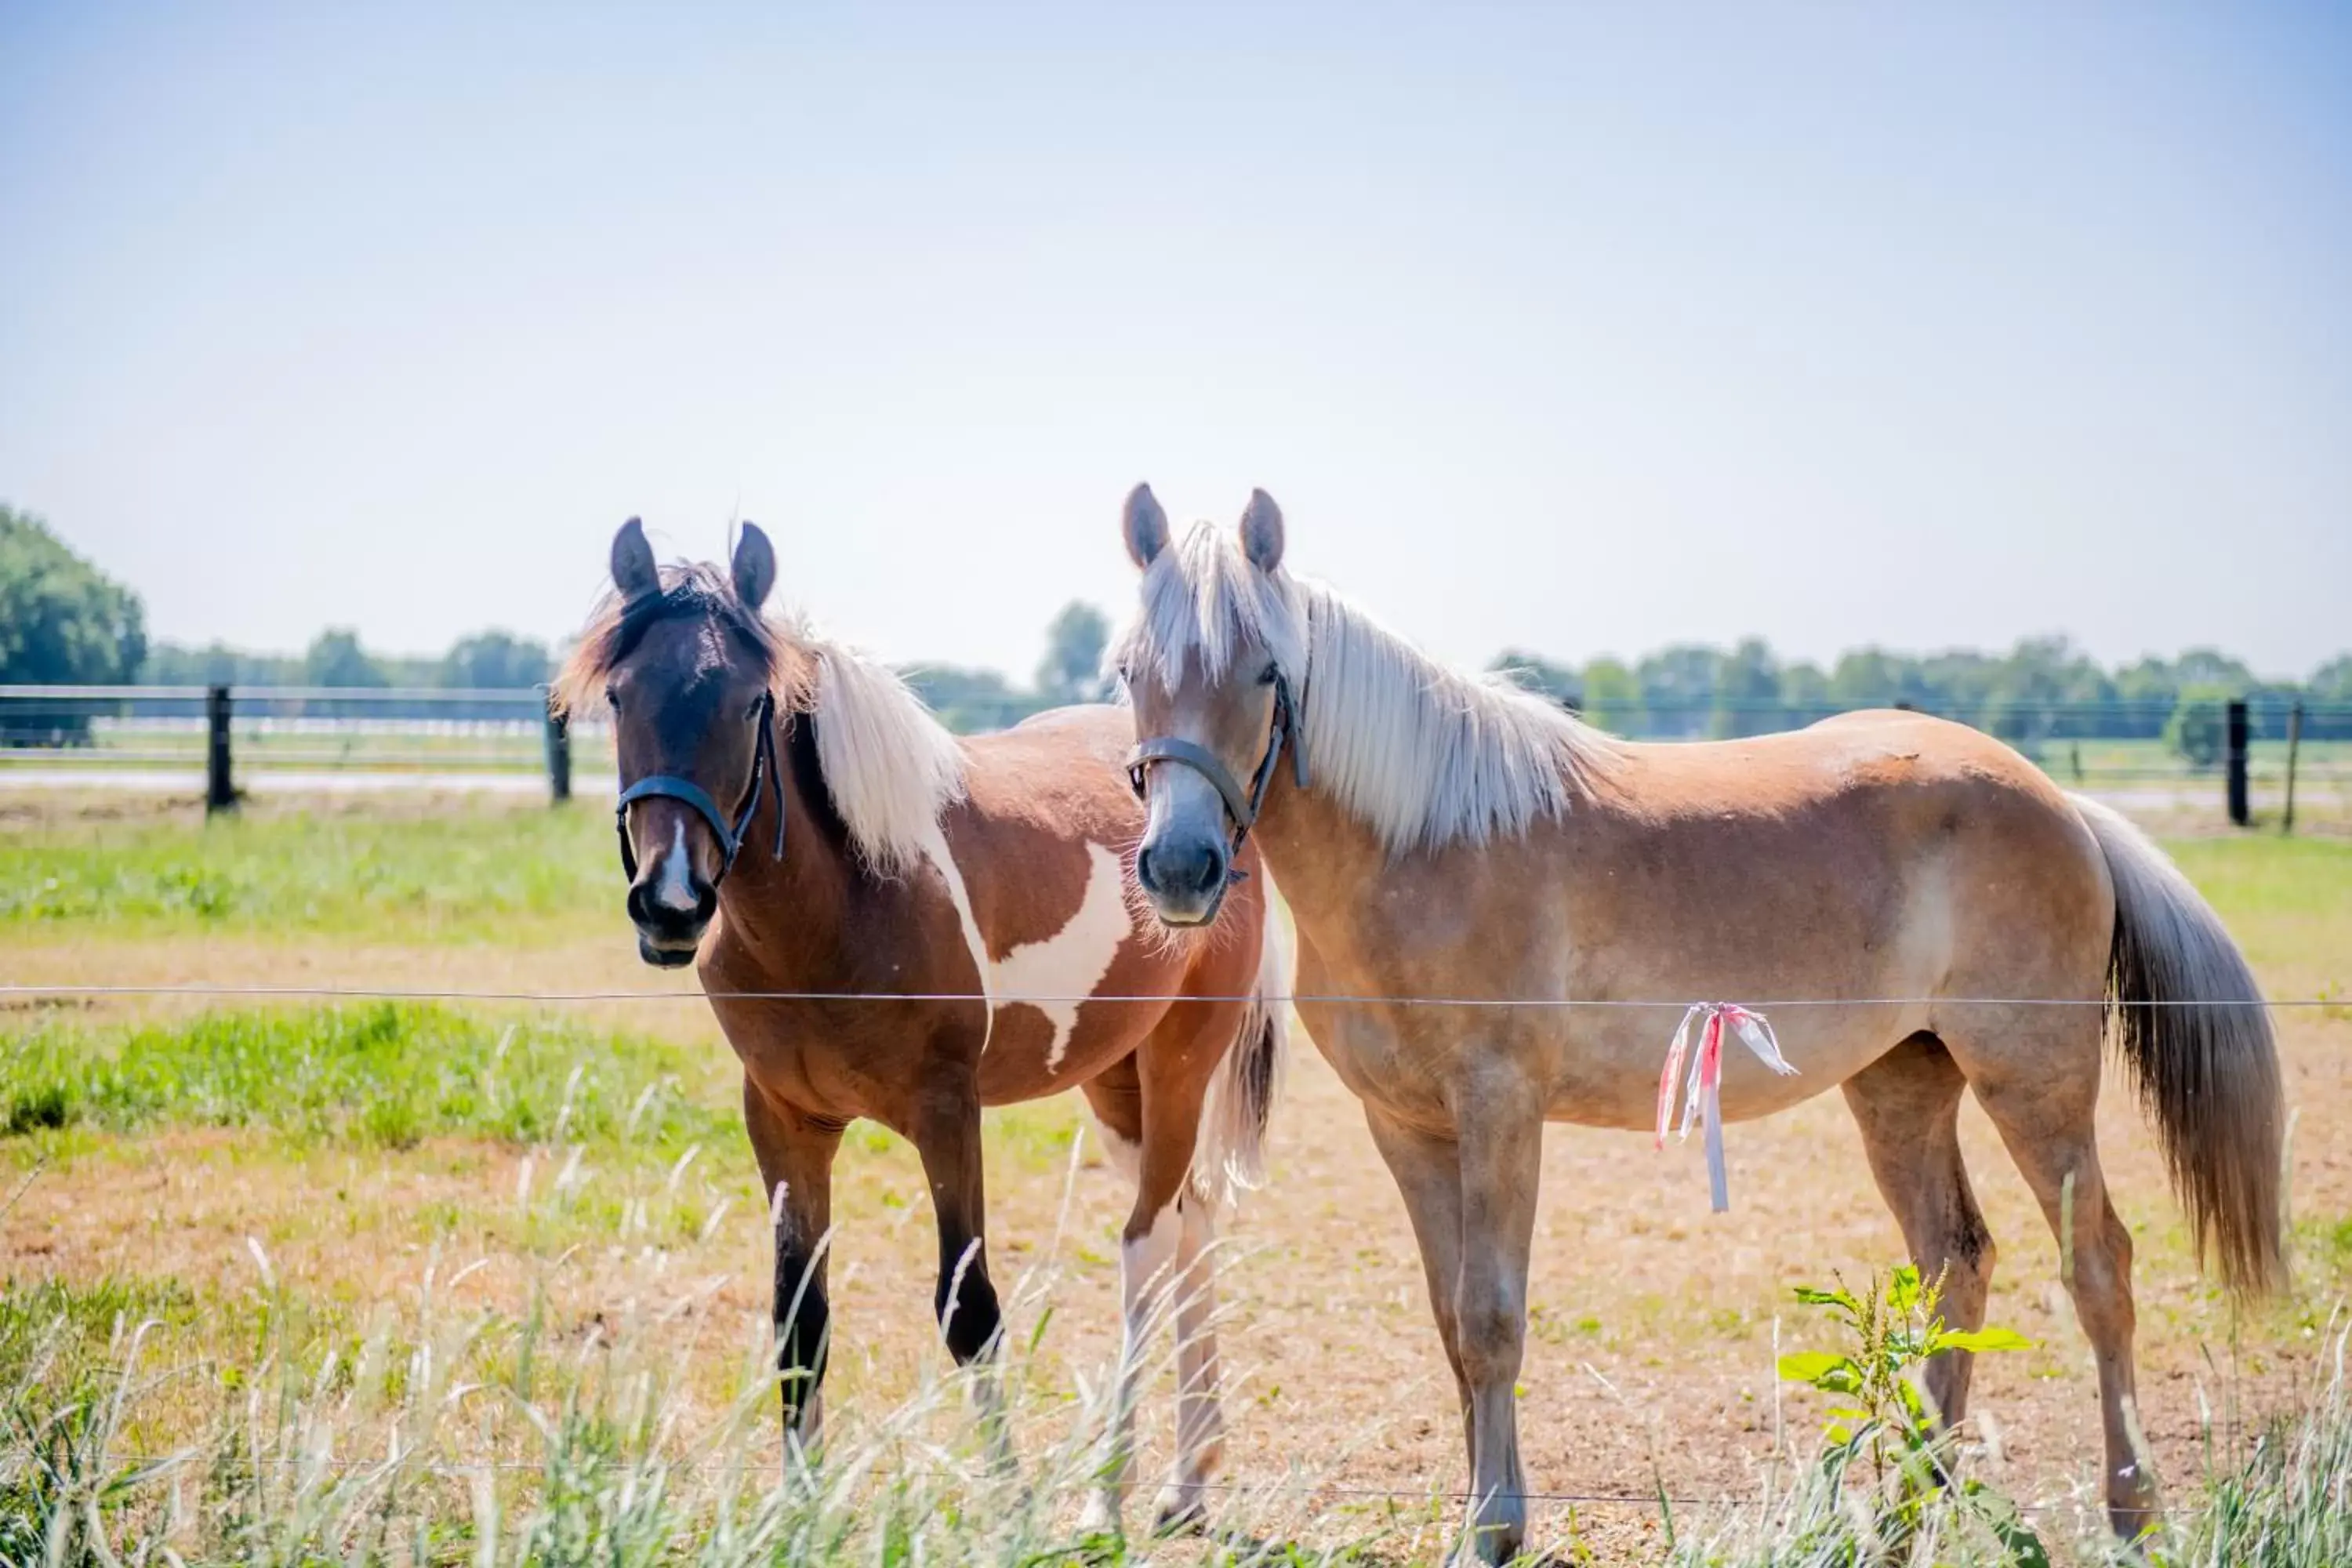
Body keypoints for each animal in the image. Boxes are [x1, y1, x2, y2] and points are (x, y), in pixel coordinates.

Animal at [553, 517, 1298, 1533]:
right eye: (621, 695)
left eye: (751, 703)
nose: (670, 903)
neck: (846, 902)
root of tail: (1218, 821)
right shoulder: (783, 1120)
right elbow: (801, 1316)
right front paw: (799, 1509)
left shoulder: (948, 1115)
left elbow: (967, 1305)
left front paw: (1015, 1508)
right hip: (1117, 1081)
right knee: (1193, 1219)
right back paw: (1186, 1479)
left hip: (1182, 1060)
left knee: (1149, 1242)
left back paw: (1117, 1491)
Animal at [1110, 486, 2286, 1561]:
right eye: (1129, 672)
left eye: (1267, 672)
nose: (1180, 868)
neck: (1422, 845)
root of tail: (2057, 802)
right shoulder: (1404, 1127)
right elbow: (1453, 1325)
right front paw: (1493, 1520)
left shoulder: (1501, 1112)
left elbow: (1492, 1321)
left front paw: (1489, 1532)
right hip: (1902, 1083)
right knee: (1956, 1262)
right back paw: (1906, 1513)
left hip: (2033, 1080)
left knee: (2099, 1266)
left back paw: (2130, 1515)